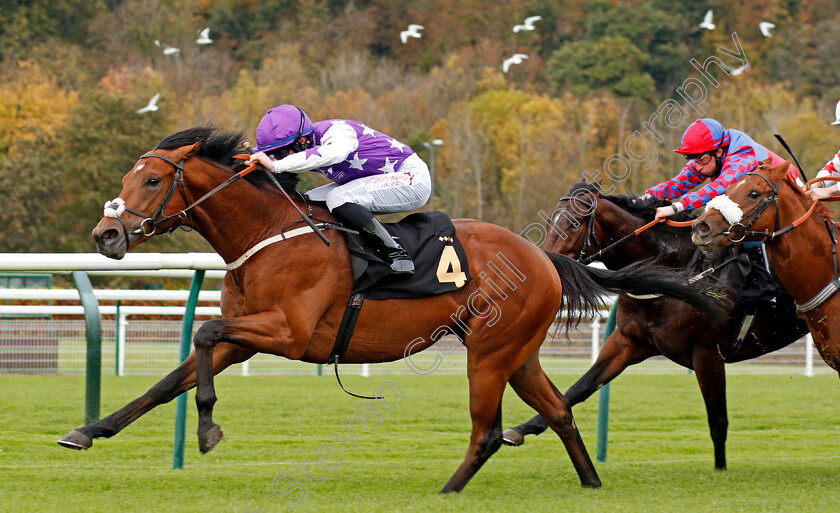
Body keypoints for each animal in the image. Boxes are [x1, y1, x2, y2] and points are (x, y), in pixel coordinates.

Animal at [59, 125, 720, 492]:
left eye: (150, 182)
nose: (106, 235)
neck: (271, 234)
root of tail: (542, 256)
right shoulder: (250, 335)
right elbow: (168, 379)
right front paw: (88, 430)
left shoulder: (288, 333)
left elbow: (203, 334)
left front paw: (207, 429)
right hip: (516, 351)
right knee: (558, 410)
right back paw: (590, 481)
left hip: (489, 352)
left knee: (487, 430)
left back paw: (448, 491)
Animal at [498, 181, 808, 468]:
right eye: (549, 222)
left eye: (573, 223)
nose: (544, 264)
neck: (675, 271)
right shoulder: (627, 342)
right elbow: (579, 388)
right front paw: (519, 430)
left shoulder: (707, 353)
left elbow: (718, 421)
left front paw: (720, 471)